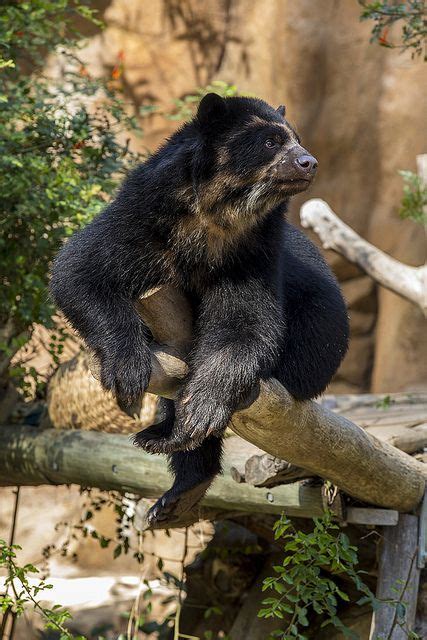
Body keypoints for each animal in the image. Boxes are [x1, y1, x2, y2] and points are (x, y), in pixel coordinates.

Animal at [51, 95, 352, 524]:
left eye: (296, 139)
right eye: (271, 141)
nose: (309, 162)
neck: (216, 217)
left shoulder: (251, 255)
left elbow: (245, 325)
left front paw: (202, 410)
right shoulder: (142, 220)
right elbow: (80, 270)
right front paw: (127, 376)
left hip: (311, 355)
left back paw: (170, 452)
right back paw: (171, 477)